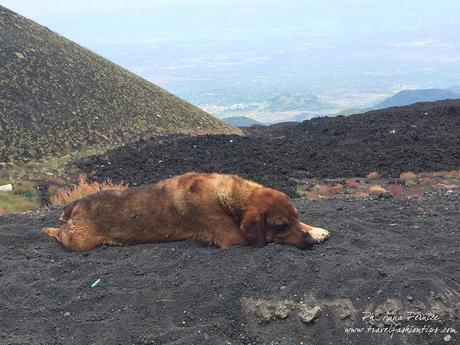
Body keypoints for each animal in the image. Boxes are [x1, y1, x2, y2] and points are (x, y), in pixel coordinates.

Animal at [43, 171, 328, 250]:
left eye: (296, 218)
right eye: (280, 226)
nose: (309, 242)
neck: (229, 195)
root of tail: (76, 204)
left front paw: (317, 230)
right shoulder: (233, 237)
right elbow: (262, 239)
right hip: (79, 242)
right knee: (61, 234)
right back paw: (48, 229)